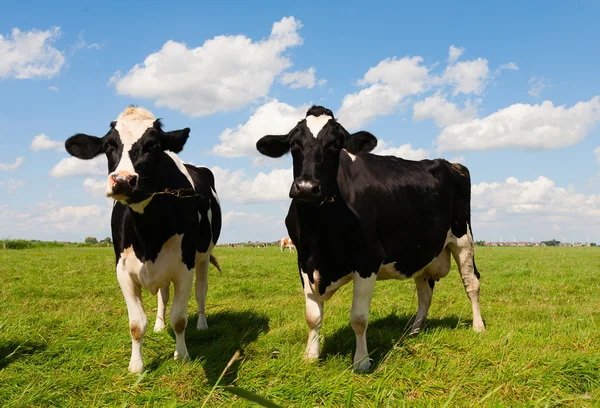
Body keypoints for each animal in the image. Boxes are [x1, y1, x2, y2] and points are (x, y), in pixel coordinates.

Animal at [63, 105, 223, 372]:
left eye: (153, 145)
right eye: (108, 145)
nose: (123, 180)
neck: (149, 236)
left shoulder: (184, 268)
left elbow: (179, 319)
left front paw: (182, 355)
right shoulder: (123, 271)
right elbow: (137, 324)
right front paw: (136, 365)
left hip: (202, 257)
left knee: (201, 292)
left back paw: (202, 324)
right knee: (163, 296)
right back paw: (159, 325)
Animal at [255, 106, 486, 372]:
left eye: (335, 145)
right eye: (294, 145)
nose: (306, 187)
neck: (319, 234)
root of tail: (453, 164)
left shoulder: (368, 260)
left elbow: (359, 318)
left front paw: (362, 362)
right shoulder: (304, 261)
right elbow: (312, 317)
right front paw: (310, 356)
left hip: (463, 238)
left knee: (471, 283)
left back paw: (478, 326)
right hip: (421, 252)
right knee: (424, 292)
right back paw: (414, 330)